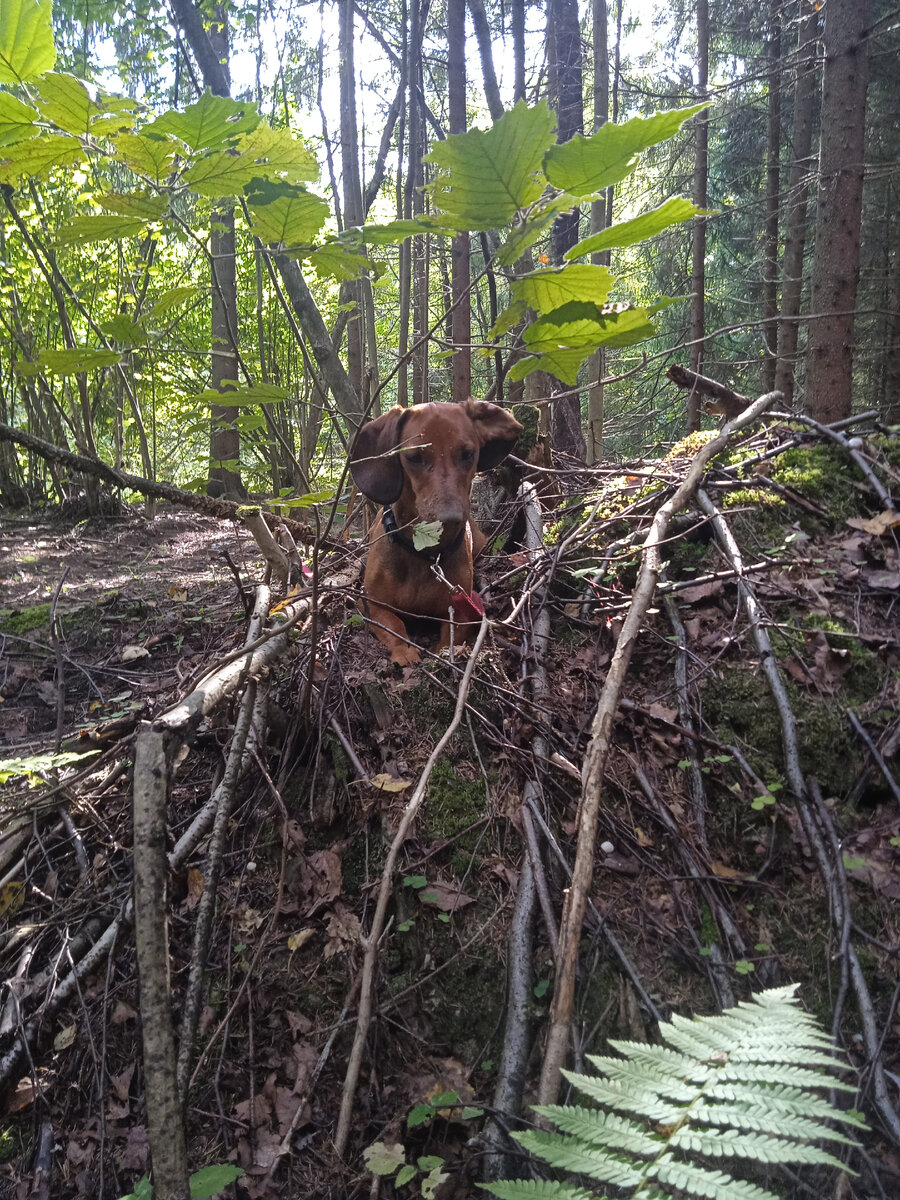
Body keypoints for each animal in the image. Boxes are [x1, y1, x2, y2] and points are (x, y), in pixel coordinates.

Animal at [350, 400, 525, 667]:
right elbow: (395, 625)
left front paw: (444, 655)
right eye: (414, 457)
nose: (451, 518)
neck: (424, 554)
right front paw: (405, 651)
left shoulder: (463, 609)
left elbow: (450, 638)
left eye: (468, 454)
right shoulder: (371, 603)